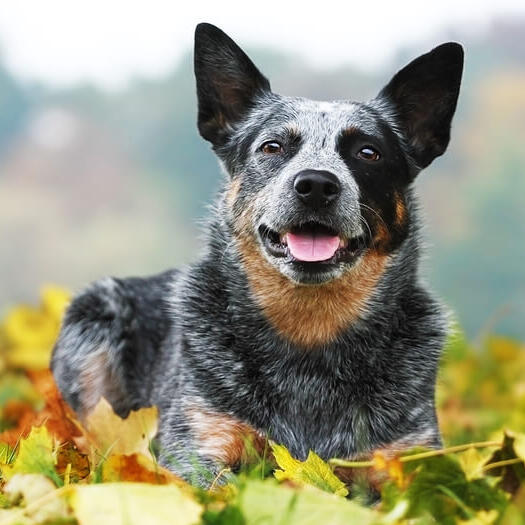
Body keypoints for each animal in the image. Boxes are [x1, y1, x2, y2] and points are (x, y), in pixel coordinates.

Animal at [52, 22, 462, 486]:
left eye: (368, 152)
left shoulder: (409, 457)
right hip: (93, 319)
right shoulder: (197, 447)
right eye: (272, 146)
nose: (316, 184)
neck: (310, 336)